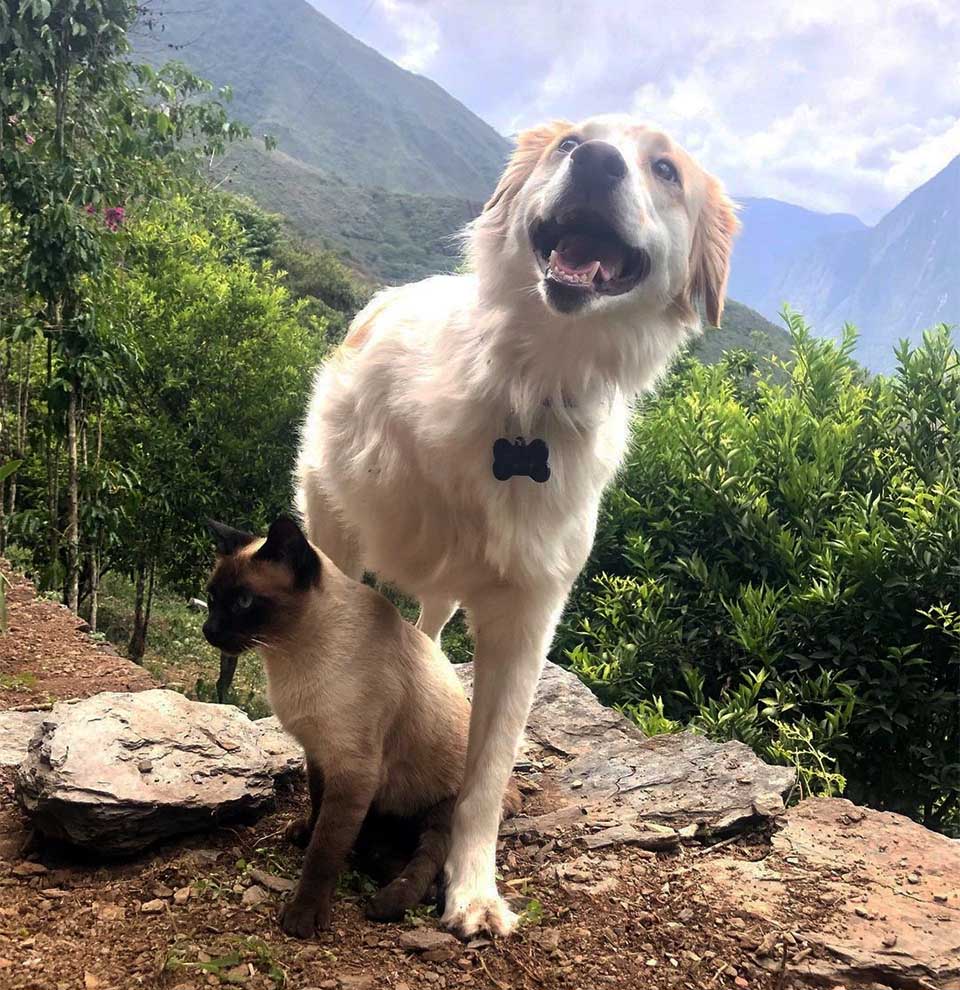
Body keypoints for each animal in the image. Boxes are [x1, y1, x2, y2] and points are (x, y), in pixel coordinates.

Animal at [199, 516, 520, 940]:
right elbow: (318, 810)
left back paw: (387, 901)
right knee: (385, 848)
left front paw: (302, 917)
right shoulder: (318, 754)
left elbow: (325, 850)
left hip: (446, 806)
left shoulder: (354, 771)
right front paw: (304, 834)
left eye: (243, 602)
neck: (289, 656)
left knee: (429, 860)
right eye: (213, 596)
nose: (209, 630)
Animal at [296, 114, 740, 936]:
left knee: (432, 631)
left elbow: (488, 772)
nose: (595, 162)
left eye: (665, 169)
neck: (526, 390)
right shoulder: (336, 534)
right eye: (571, 143)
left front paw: (471, 889)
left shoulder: (529, 616)